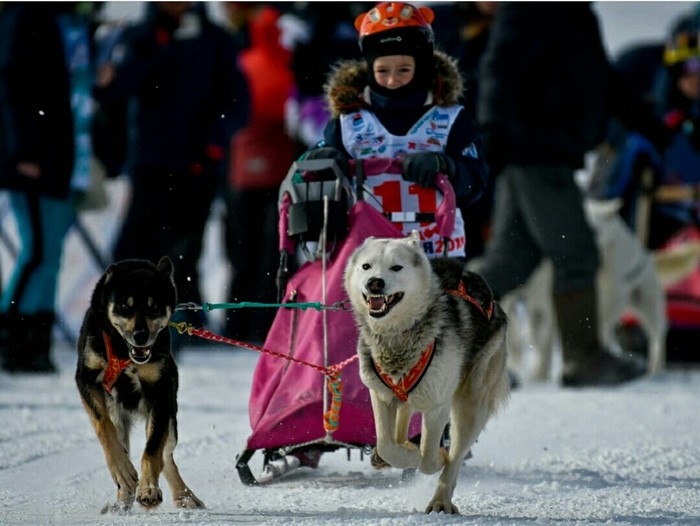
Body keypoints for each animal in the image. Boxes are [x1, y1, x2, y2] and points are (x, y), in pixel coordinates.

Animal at [75, 256, 204, 513]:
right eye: (125, 306)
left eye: (154, 307)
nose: (140, 335)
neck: (123, 351)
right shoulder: (86, 379)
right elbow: (104, 427)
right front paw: (123, 472)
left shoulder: (160, 394)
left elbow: (152, 450)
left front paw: (149, 490)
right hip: (119, 414)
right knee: (121, 441)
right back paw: (122, 498)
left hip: (170, 419)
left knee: (166, 455)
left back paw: (182, 495)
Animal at [344, 231, 510, 514]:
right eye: (366, 266)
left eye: (396, 267)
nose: (375, 282)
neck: (397, 339)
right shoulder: (380, 395)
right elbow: (387, 444)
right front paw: (401, 452)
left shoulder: (437, 406)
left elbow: (430, 458)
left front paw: (431, 456)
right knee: (403, 415)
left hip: (470, 405)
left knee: (456, 456)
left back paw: (441, 500)